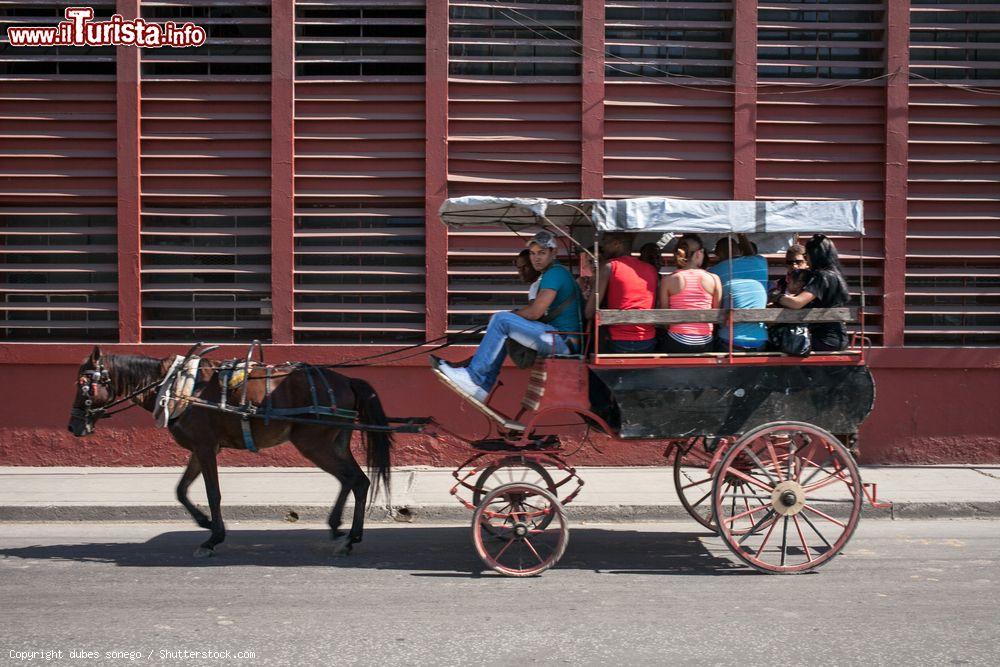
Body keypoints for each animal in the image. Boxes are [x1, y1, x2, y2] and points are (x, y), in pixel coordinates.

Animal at [66, 344, 392, 560]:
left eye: (83, 385)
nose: (73, 426)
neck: (177, 387)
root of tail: (347, 380)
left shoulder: (205, 447)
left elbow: (213, 493)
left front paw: (213, 538)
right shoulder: (200, 448)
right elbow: (181, 490)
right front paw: (205, 523)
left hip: (314, 443)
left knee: (353, 479)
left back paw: (348, 535)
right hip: (333, 442)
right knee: (356, 480)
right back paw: (343, 531)